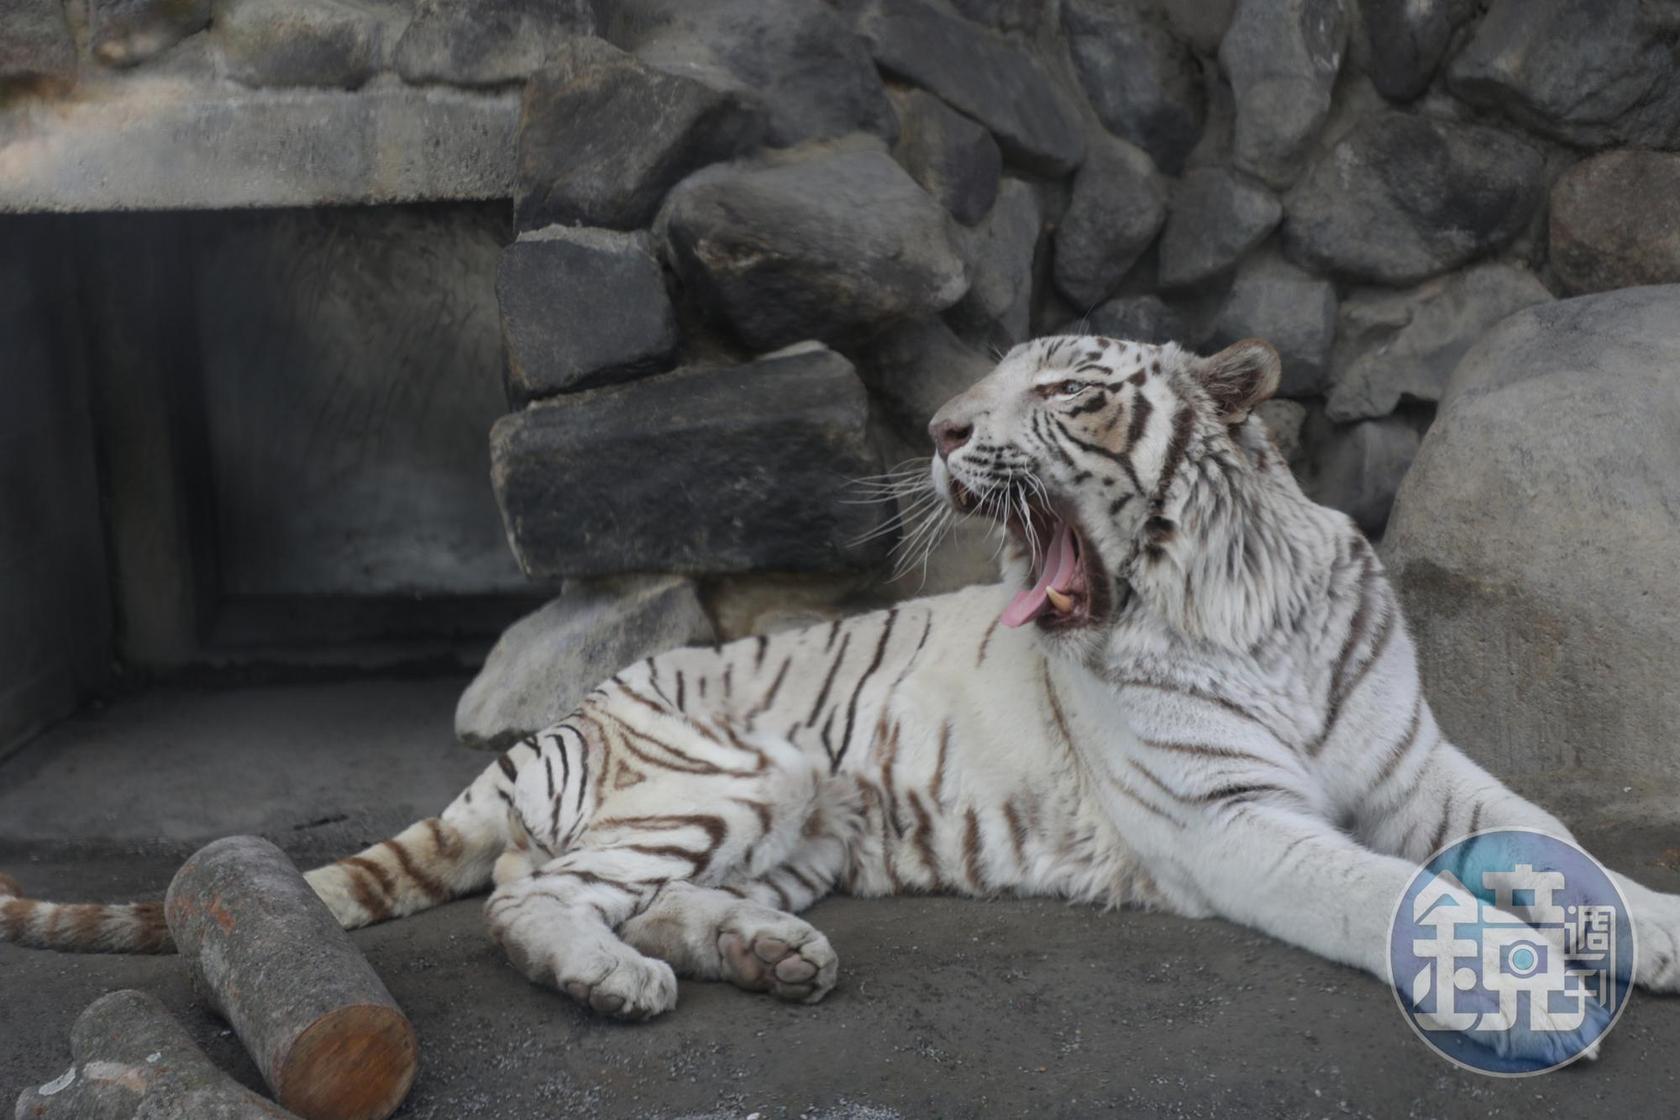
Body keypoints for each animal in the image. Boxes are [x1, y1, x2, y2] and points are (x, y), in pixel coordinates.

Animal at [5, 335, 1677, 1066]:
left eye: (1062, 388)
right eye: (983, 382)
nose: (936, 426)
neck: (1230, 592)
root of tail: (560, 724)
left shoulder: (1418, 766)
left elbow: (1551, 843)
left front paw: (1649, 931)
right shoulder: (1234, 820)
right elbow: (1395, 892)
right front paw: (1531, 990)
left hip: (793, 818)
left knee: (623, 891)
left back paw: (770, 955)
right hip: (727, 772)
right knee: (533, 900)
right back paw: (617, 984)